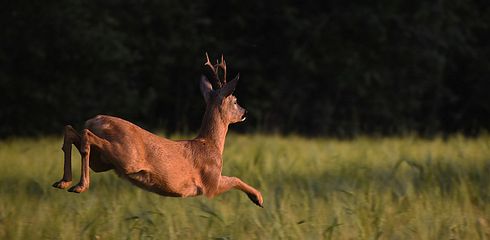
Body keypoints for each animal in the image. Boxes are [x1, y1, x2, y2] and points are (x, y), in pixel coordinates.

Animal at [51, 53, 262, 207]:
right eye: (235, 100)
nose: (245, 112)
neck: (211, 144)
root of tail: (94, 121)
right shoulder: (210, 183)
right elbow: (235, 178)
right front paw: (258, 198)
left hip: (102, 162)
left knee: (71, 131)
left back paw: (63, 182)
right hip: (126, 156)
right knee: (85, 136)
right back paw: (79, 186)